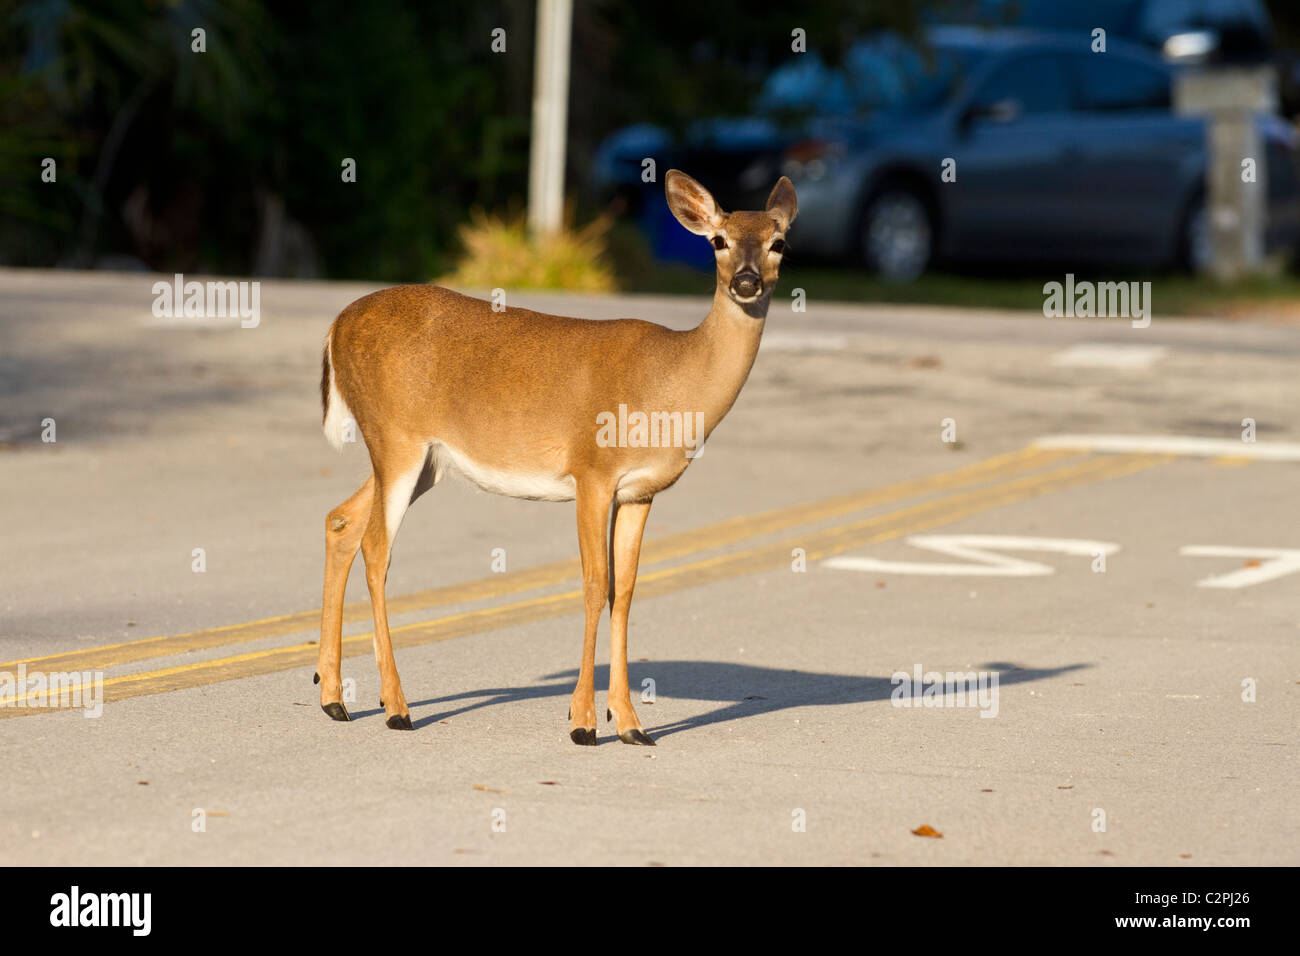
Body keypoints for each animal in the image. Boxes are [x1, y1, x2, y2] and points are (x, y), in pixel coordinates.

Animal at [319, 167, 795, 743]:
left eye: (778, 243)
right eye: (719, 241)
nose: (746, 282)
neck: (671, 385)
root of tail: (336, 326)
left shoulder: (640, 492)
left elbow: (624, 591)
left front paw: (630, 725)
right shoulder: (591, 472)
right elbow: (594, 585)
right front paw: (584, 722)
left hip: (425, 460)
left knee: (341, 520)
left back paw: (332, 697)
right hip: (396, 438)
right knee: (376, 547)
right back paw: (395, 707)